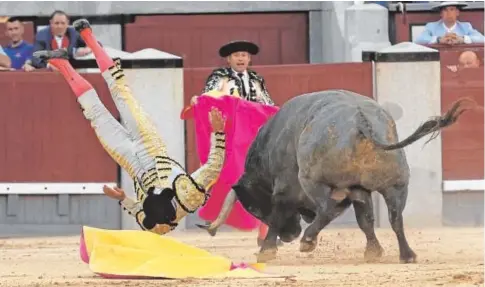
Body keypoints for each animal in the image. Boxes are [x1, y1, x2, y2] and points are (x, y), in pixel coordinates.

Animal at [196, 90, 472, 266]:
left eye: (253, 208)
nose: (290, 235)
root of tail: (362, 121)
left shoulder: (285, 190)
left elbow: (277, 216)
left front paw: (266, 251)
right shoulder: (359, 189)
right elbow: (365, 220)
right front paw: (373, 251)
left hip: (313, 180)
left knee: (328, 208)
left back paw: (308, 240)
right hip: (396, 184)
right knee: (395, 218)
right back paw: (407, 255)